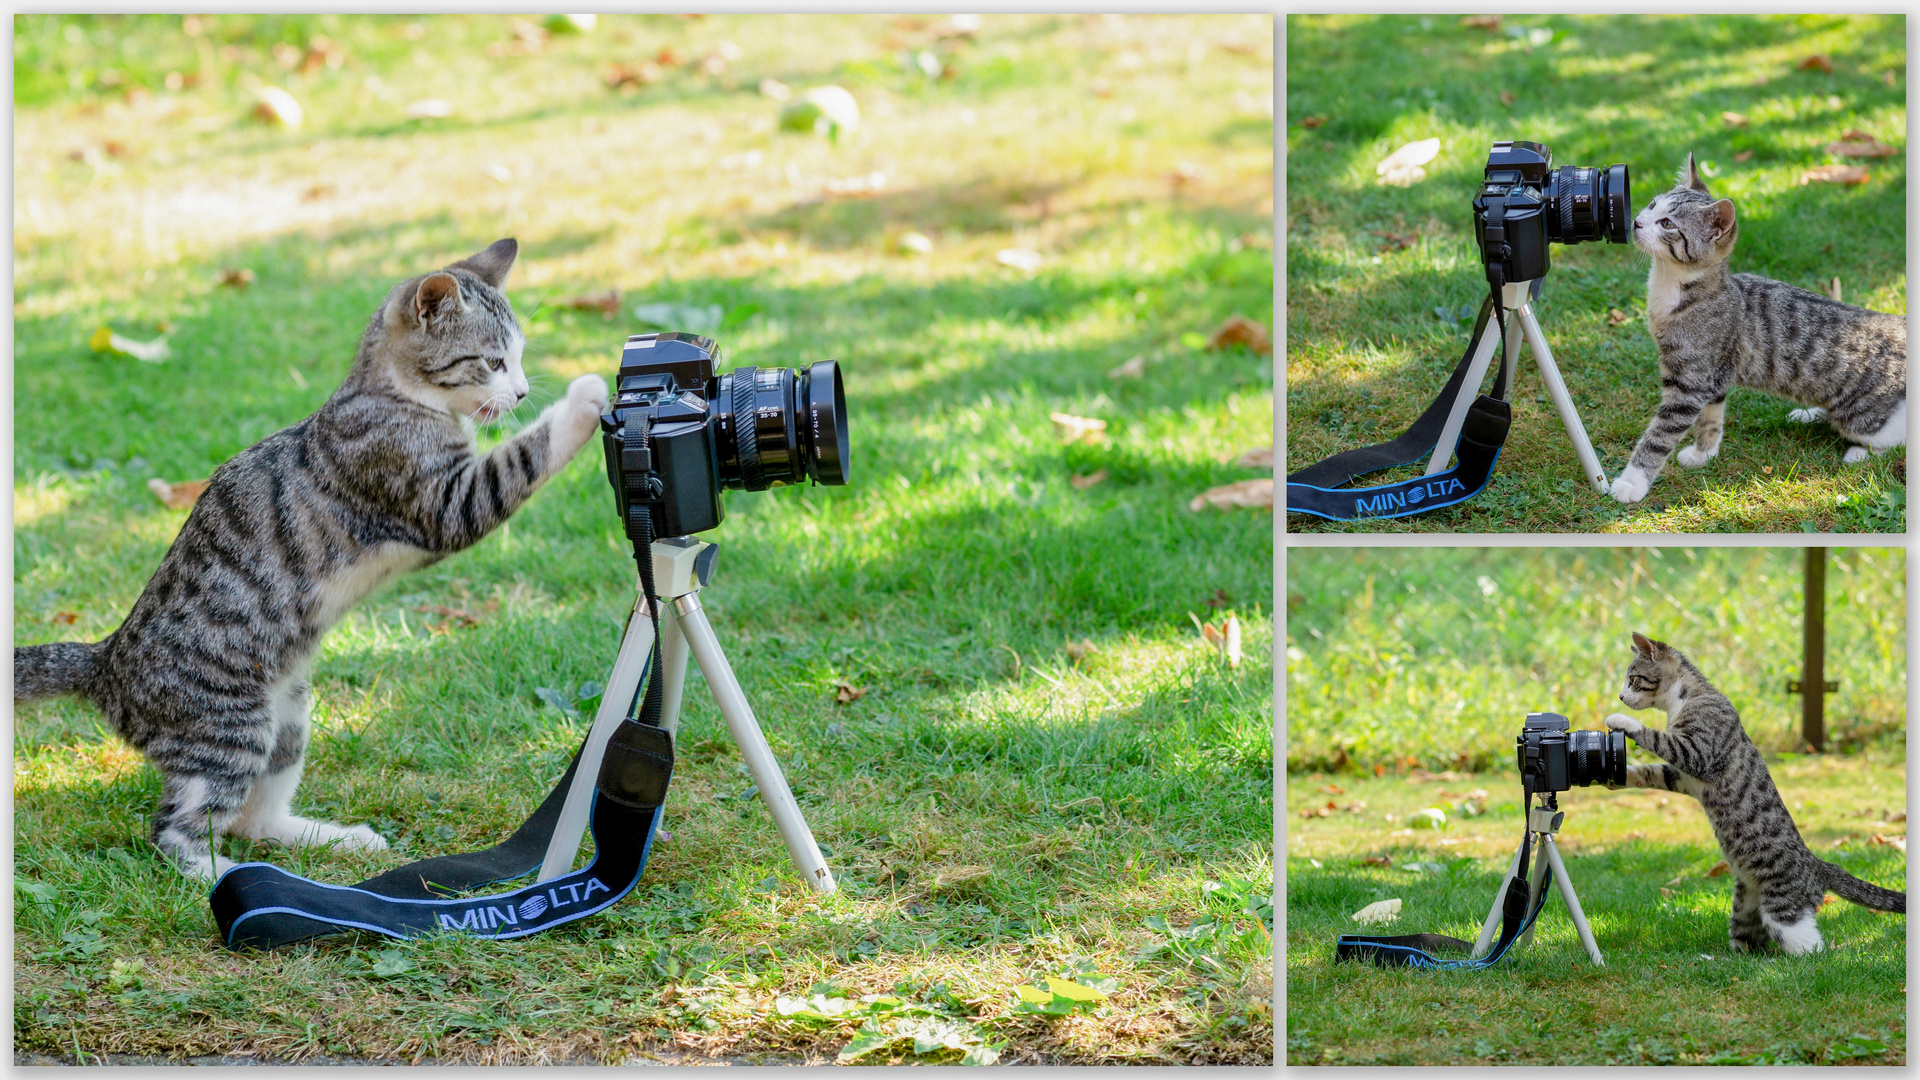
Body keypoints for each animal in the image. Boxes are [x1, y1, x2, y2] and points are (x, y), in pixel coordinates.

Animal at [9, 239, 606, 880]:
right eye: (492, 362)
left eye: (517, 359)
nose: (519, 393)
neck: (394, 397)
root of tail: (109, 662)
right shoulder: (440, 500)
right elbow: (520, 459)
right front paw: (584, 401)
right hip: (228, 726)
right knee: (176, 833)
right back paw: (224, 876)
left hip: (288, 715)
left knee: (254, 818)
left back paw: (333, 840)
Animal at [1605, 152, 1904, 503]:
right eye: (1652, 205)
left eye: (1667, 224)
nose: (1637, 222)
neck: (1673, 289)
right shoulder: (1715, 374)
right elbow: (1711, 418)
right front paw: (1704, 453)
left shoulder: (1691, 382)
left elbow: (1659, 435)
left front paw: (1632, 482)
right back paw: (1810, 413)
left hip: (1864, 418)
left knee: (1893, 438)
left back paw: (1859, 452)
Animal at [1605, 630, 1904, 949]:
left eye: (1633, 678)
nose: (1620, 696)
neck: (1684, 700)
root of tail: (1818, 865)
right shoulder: (1683, 778)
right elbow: (1651, 771)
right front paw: (1619, 774)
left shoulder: (1698, 754)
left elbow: (1657, 737)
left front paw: (1621, 720)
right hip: (1745, 903)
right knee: (1750, 939)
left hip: (1783, 908)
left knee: (1810, 946)